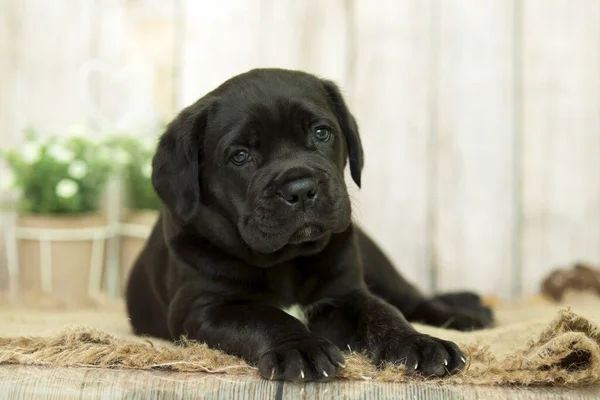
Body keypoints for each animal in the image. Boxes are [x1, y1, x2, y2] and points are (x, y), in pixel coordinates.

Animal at [127, 69, 492, 382]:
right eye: (240, 156)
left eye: (321, 132)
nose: (299, 189)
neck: (286, 260)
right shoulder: (204, 308)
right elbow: (265, 316)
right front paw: (299, 348)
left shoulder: (345, 292)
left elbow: (382, 312)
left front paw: (417, 343)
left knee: (411, 298)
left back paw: (466, 317)